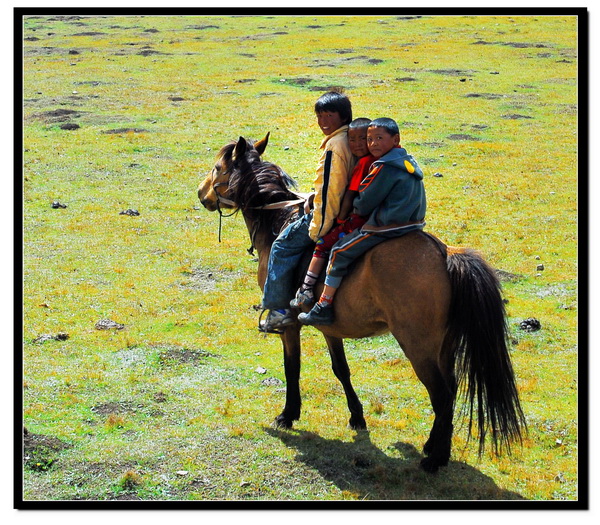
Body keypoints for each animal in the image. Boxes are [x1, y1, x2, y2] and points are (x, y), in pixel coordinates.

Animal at [198, 133, 524, 472]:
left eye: (218, 167)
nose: (201, 193)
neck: (276, 219)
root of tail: (445, 254)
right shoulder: (330, 326)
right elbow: (341, 368)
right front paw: (357, 416)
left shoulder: (289, 326)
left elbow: (292, 367)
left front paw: (288, 414)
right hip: (443, 346)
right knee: (451, 388)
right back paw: (433, 445)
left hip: (418, 346)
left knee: (442, 395)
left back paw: (435, 459)